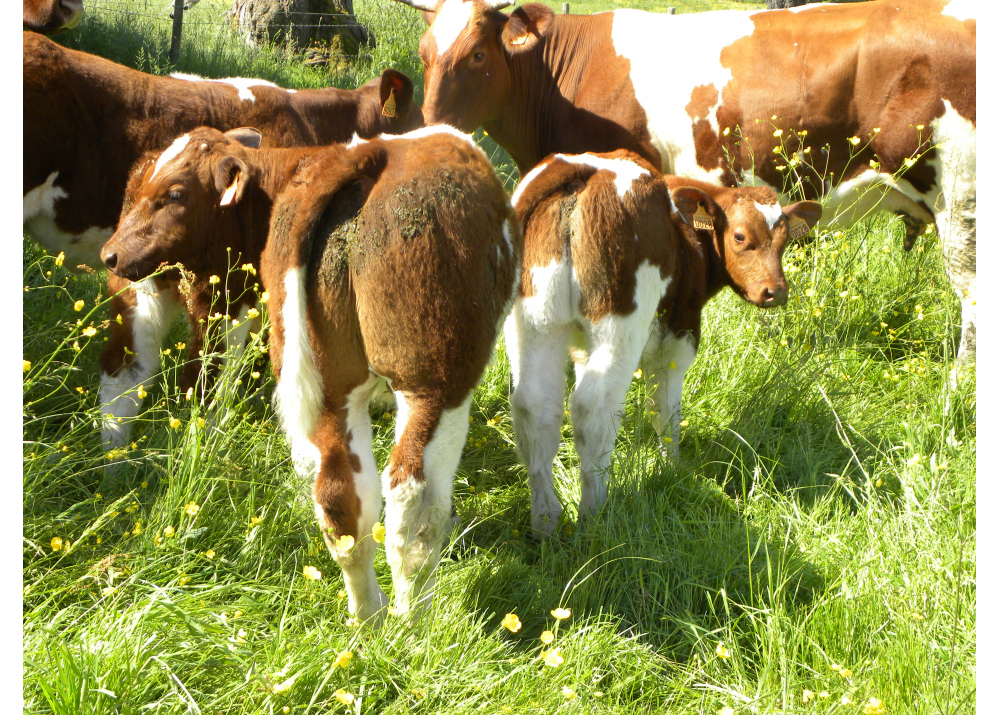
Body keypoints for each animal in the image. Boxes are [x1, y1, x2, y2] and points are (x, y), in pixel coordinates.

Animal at [99, 126, 524, 624]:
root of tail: (364, 157)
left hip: (329, 388)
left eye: (175, 193)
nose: (111, 254)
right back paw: (413, 621)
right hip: (434, 381)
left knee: (339, 498)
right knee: (412, 500)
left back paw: (368, 616)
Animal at [508, 150, 820, 532]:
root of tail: (586, 172)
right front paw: (672, 468)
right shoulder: (681, 332)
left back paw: (546, 521)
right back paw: (595, 514)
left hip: (534, 320)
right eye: (740, 237)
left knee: (535, 406)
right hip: (619, 324)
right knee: (594, 408)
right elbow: (667, 412)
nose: (775, 292)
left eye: (785, 240)